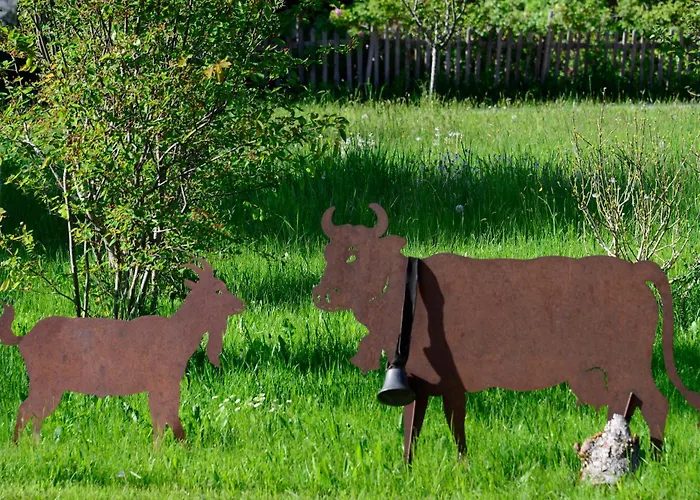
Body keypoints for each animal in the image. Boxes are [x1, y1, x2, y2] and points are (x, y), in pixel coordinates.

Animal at [313, 203, 700, 463]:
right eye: (328, 252)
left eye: (355, 254)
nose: (323, 295)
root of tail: (635, 270)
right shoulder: (421, 384)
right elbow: (414, 427)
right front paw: (409, 468)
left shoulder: (448, 382)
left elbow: (453, 425)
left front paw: (461, 466)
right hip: (619, 368)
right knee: (625, 404)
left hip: (630, 363)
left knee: (655, 402)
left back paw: (647, 459)